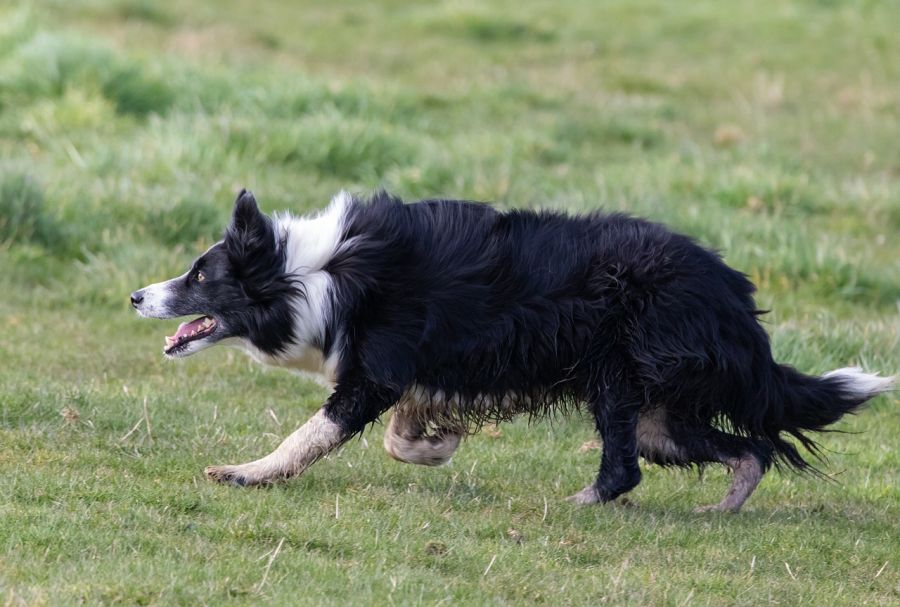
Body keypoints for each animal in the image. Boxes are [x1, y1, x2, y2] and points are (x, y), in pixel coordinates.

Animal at [132, 190, 892, 512]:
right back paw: (725, 505)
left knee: (626, 468)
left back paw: (584, 500)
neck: (310, 274)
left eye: (199, 275)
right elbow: (403, 435)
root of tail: (734, 295)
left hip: (618, 378)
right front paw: (437, 442)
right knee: (750, 448)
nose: (138, 295)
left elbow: (309, 435)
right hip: (662, 413)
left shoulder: (372, 374)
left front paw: (246, 473)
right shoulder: (414, 370)